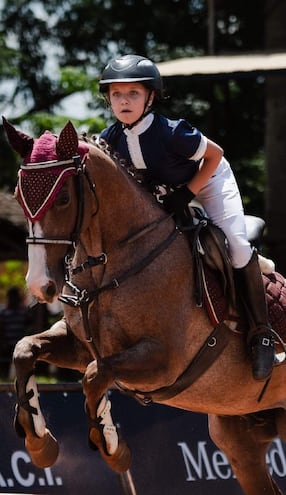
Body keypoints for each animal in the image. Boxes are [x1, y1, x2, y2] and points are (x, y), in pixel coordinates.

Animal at [3, 119, 286, 495]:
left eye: (62, 198)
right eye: (19, 197)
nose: (40, 285)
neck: (112, 265)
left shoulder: (165, 362)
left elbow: (95, 376)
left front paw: (112, 445)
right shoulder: (81, 346)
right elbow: (25, 350)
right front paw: (39, 439)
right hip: (239, 436)